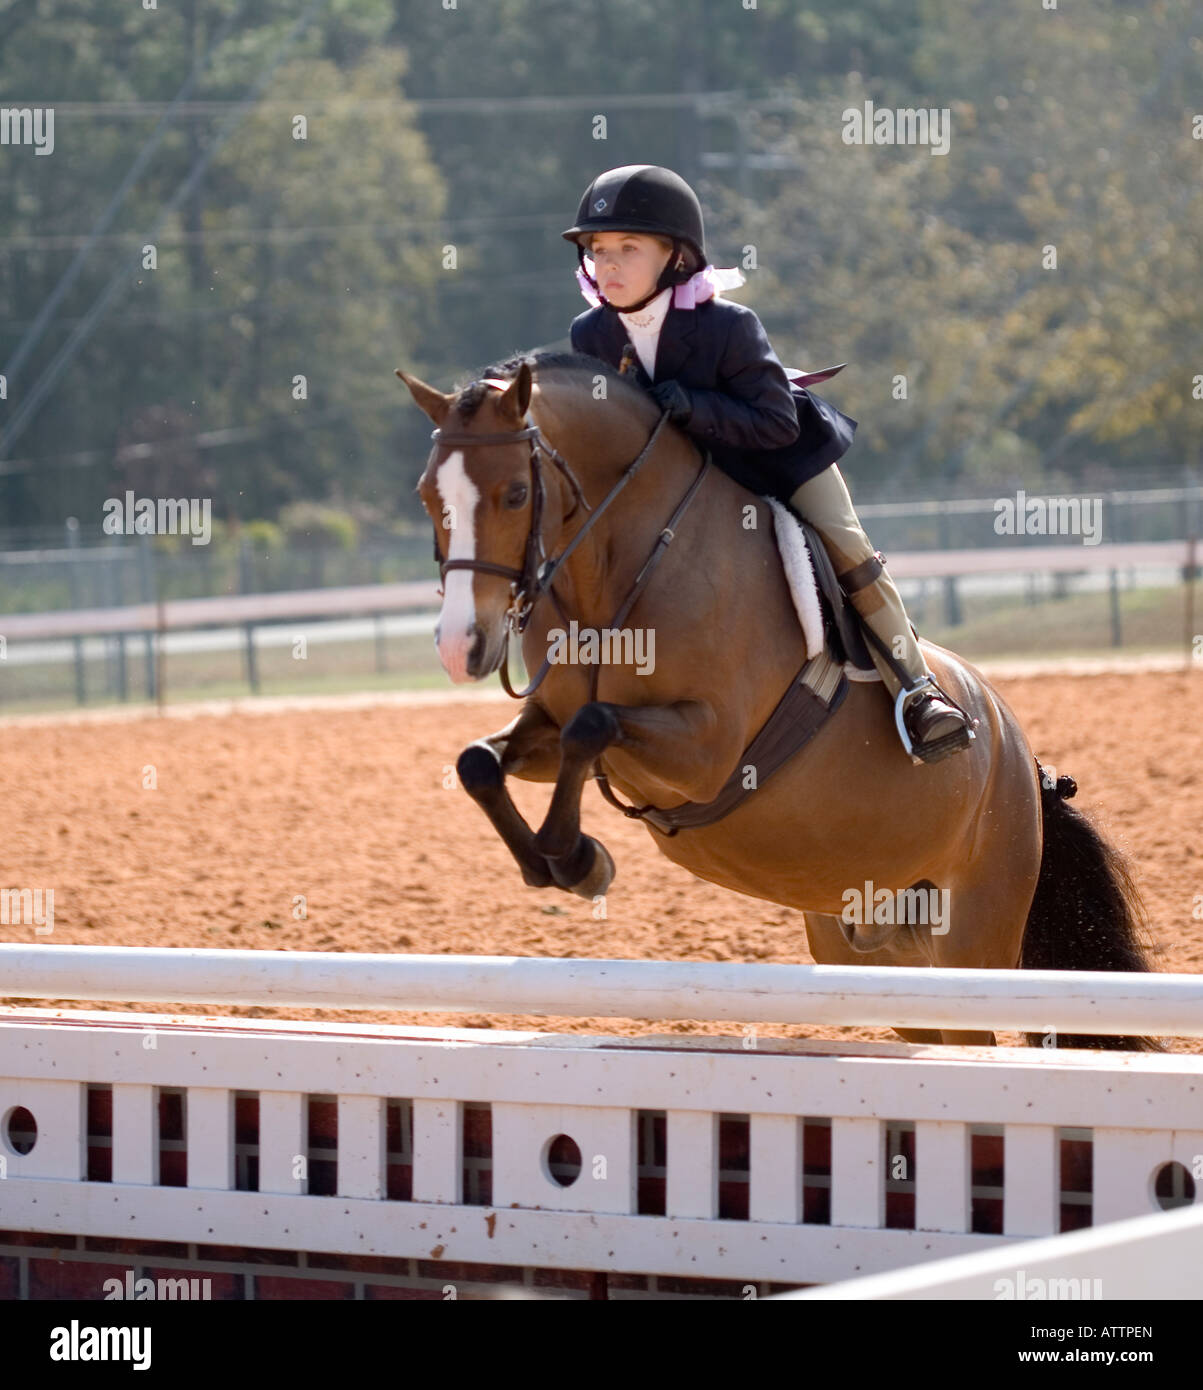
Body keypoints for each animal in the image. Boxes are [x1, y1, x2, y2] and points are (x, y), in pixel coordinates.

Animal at [397, 353, 1157, 1045]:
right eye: (428, 496)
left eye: (514, 495)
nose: (461, 645)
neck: (617, 573)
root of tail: (1022, 760)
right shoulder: (550, 728)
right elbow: (482, 761)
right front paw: (556, 862)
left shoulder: (706, 750)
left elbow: (593, 725)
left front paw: (576, 858)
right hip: (873, 946)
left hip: (974, 932)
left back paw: (933, 716)